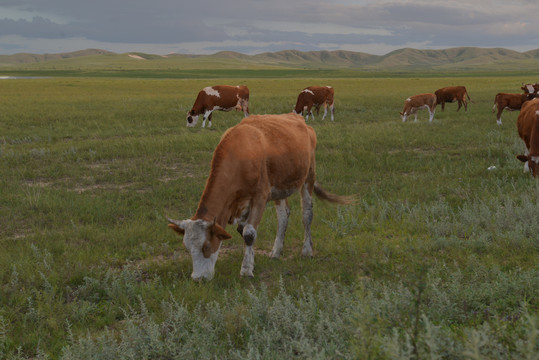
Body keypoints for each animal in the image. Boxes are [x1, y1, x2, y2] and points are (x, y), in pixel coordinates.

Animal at [169, 114, 354, 280]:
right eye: (187, 248)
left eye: (207, 246)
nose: (197, 278)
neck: (240, 151)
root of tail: (300, 120)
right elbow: (243, 230)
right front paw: (252, 262)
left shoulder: (260, 197)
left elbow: (249, 233)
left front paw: (246, 270)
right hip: (279, 186)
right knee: (283, 216)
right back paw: (276, 251)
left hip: (308, 176)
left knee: (307, 213)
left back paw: (307, 250)